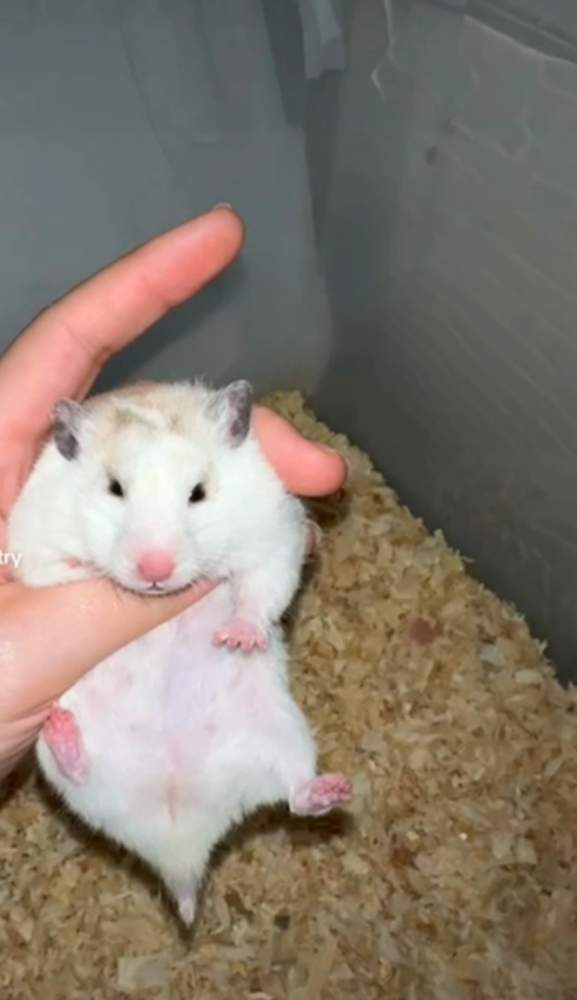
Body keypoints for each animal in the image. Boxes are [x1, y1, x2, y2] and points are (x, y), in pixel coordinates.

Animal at [7, 379, 352, 926]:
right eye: (114, 488)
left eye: (198, 493)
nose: (156, 570)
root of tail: (180, 845)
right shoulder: (30, 537)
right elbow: (51, 569)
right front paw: (89, 572)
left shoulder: (276, 532)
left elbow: (261, 589)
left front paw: (238, 637)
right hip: (67, 768)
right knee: (80, 770)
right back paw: (65, 735)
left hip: (282, 734)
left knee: (295, 794)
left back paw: (336, 790)